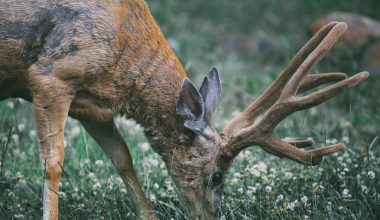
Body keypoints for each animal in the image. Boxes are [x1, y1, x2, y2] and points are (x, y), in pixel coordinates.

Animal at [0, 0, 368, 220]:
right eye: (217, 175)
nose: (211, 217)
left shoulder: (93, 107)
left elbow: (122, 157)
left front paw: (148, 216)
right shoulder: (50, 75)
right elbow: (53, 164)